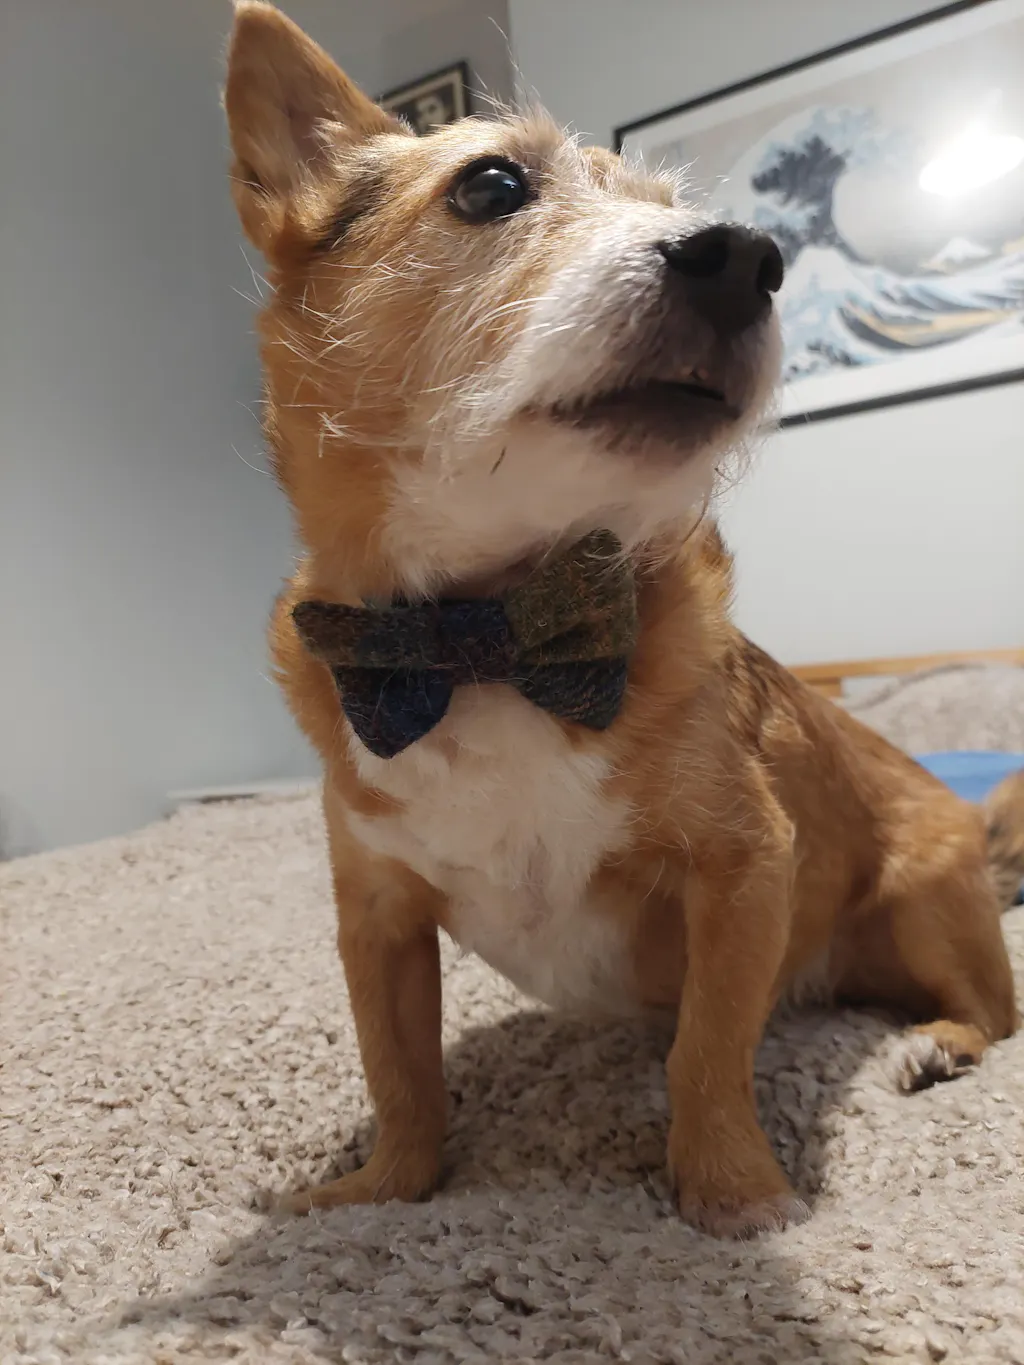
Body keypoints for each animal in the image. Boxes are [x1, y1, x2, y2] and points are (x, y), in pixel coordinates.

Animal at [223, 3, 1024, 1237]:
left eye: (698, 218)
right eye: (490, 185)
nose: (749, 257)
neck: (488, 633)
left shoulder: (745, 867)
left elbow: (709, 1051)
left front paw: (737, 1198)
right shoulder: (378, 916)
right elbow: (399, 1073)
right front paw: (374, 1193)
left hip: (932, 910)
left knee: (995, 1015)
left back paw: (930, 1046)